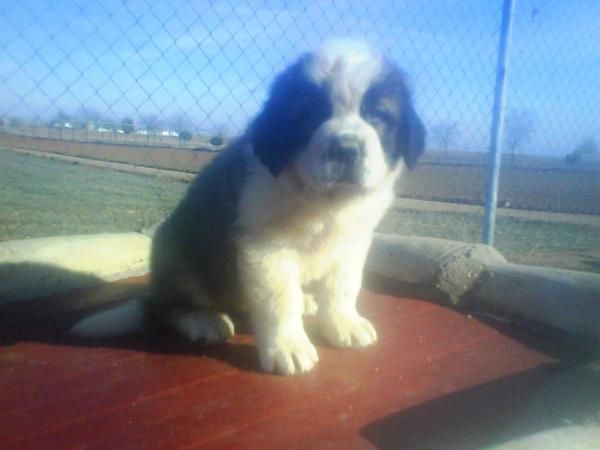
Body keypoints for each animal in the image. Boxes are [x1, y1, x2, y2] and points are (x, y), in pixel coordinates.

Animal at [71, 40, 426, 374]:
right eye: (310, 116)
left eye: (378, 117)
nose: (346, 149)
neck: (324, 200)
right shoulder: (265, 247)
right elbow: (279, 298)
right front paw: (288, 347)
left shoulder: (353, 241)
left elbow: (344, 285)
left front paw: (344, 323)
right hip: (177, 252)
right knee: (171, 306)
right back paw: (204, 320)